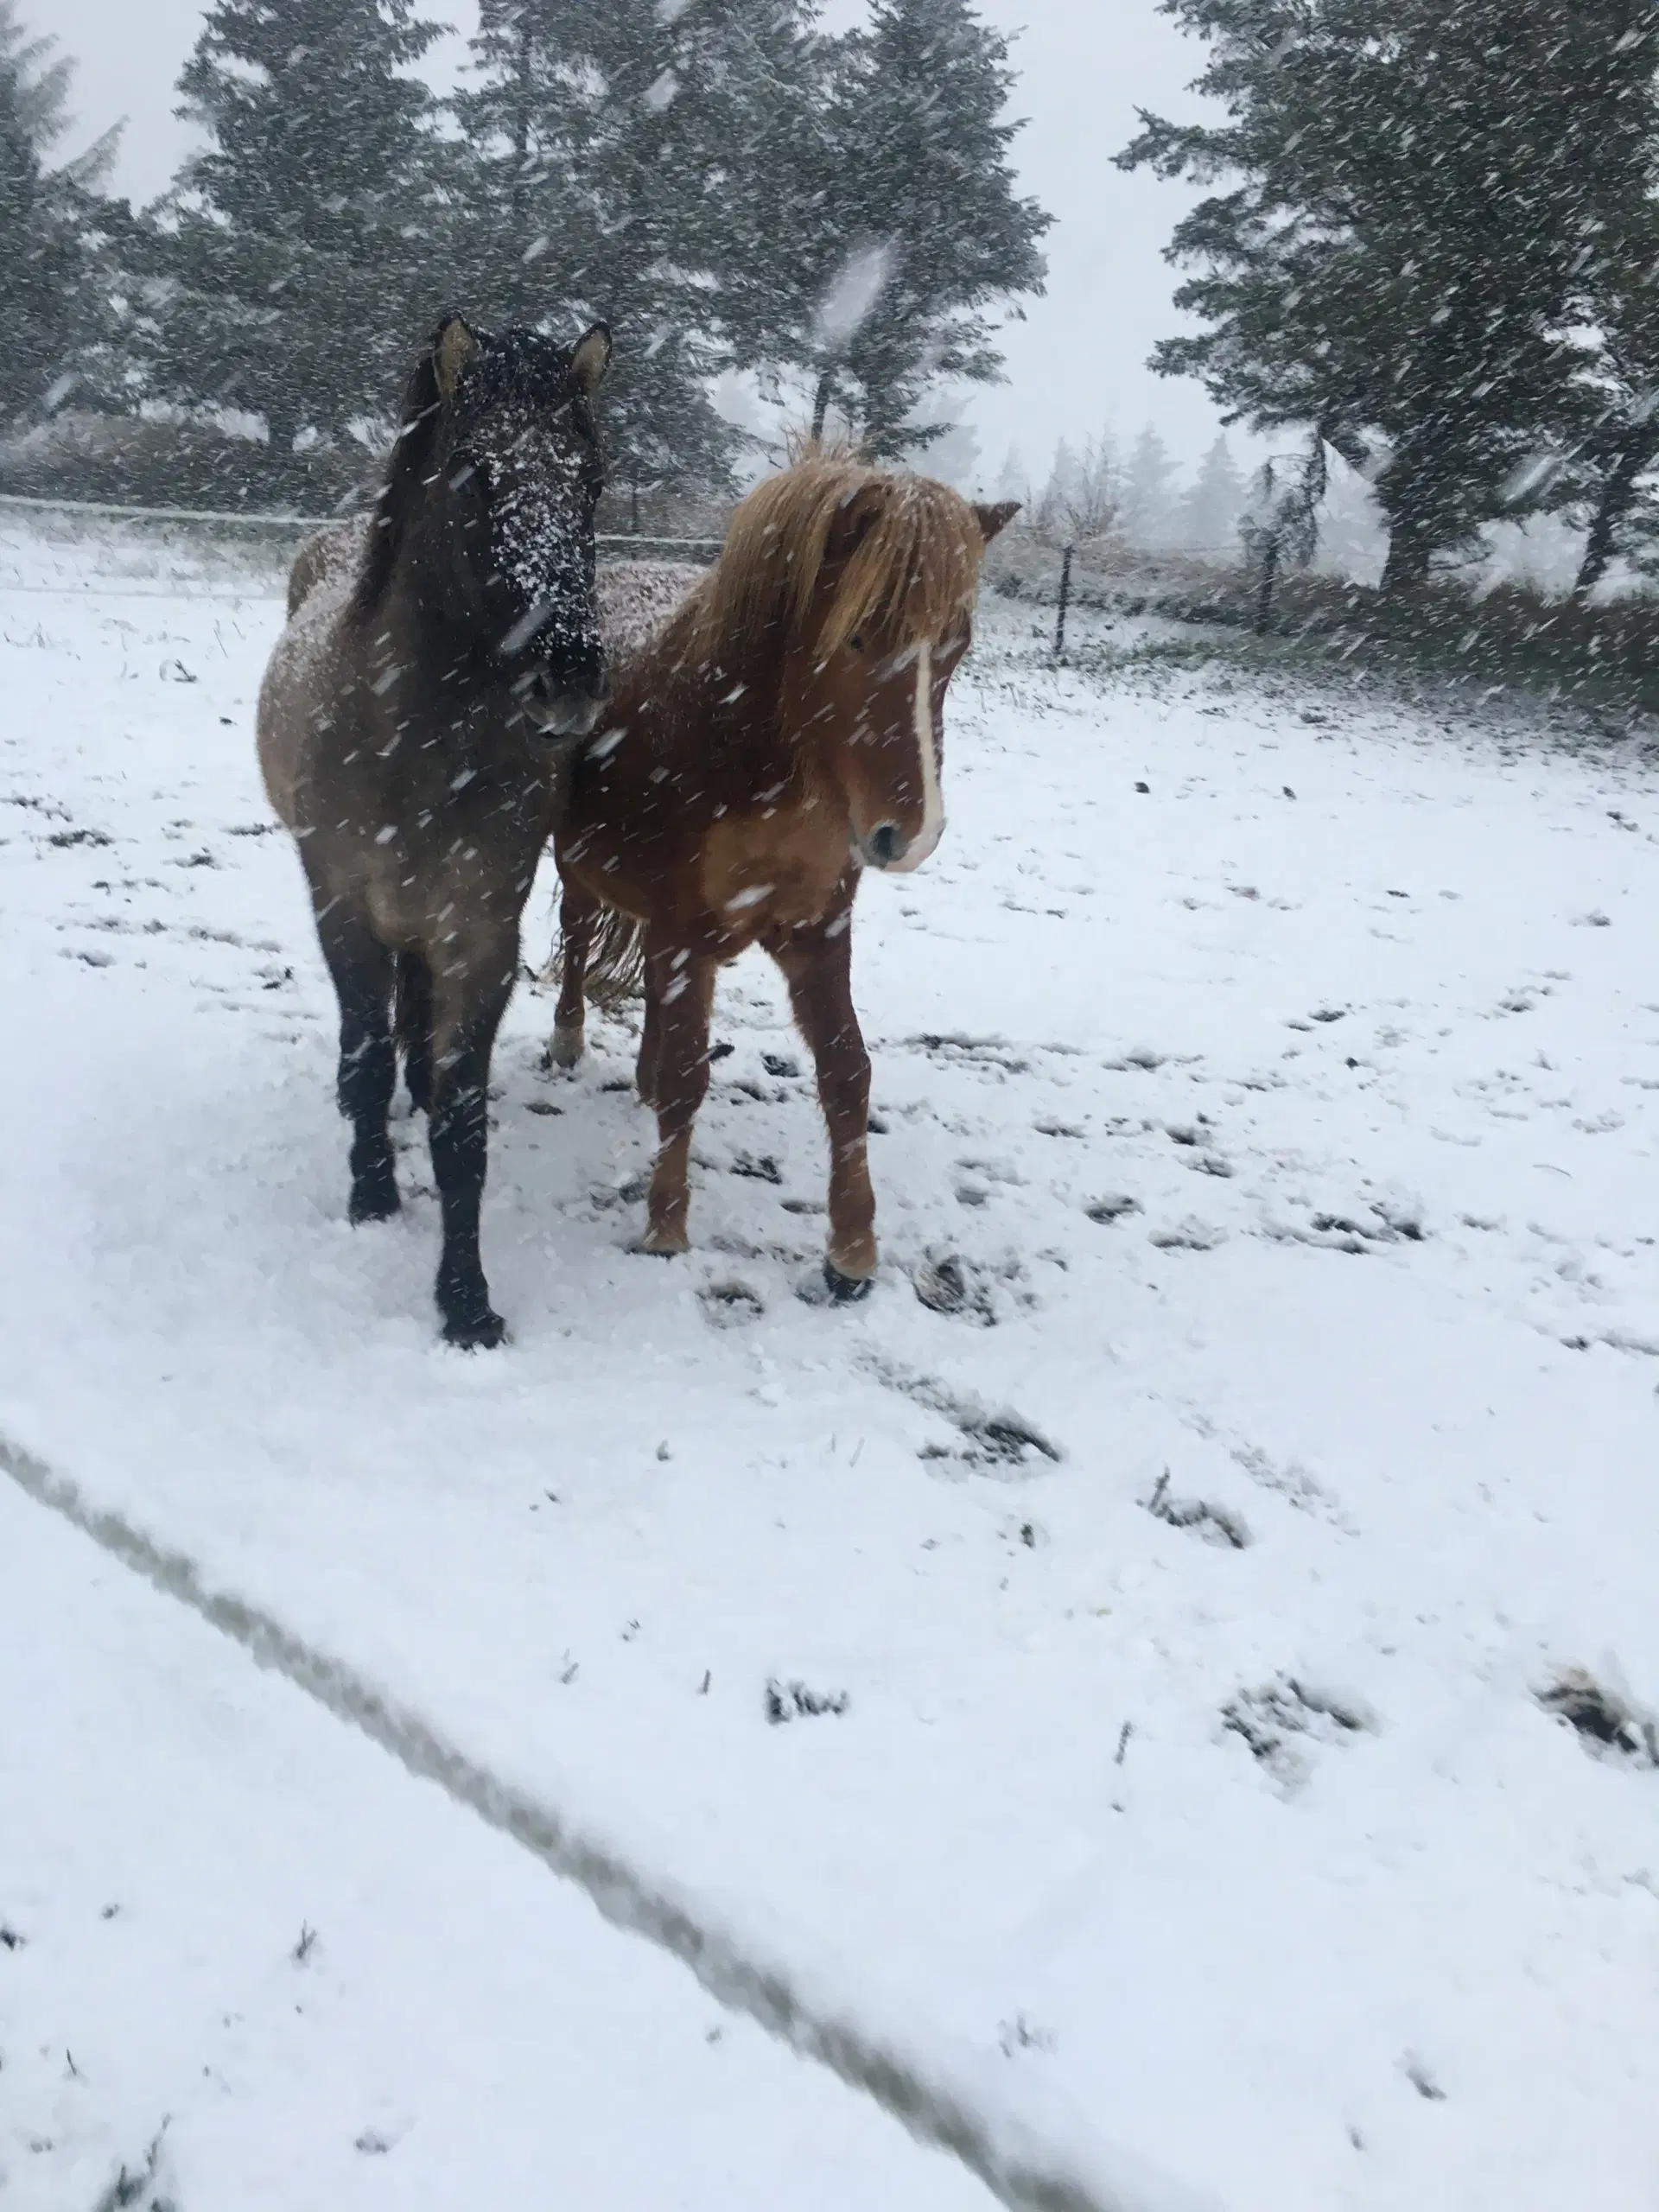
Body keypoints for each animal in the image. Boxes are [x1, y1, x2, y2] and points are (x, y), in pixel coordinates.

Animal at [263, 311, 614, 1344]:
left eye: (592, 479)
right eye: (479, 474)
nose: (569, 673)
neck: (415, 742)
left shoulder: (479, 932)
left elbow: (464, 1126)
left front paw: (466, 1302)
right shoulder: (343, 907)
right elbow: (366, 1056)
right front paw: (372, 1196)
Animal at [553, 460, 1021, 1300]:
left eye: (956, 646)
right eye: (860, 634)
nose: (912, 837)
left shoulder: (815, 933)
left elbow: (846, 1073)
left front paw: (852, 1250)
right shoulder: (685, 932)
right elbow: (690, 1074)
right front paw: (666, 1227)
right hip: (578, 870)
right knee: (576, 939)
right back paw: (569, 1038)